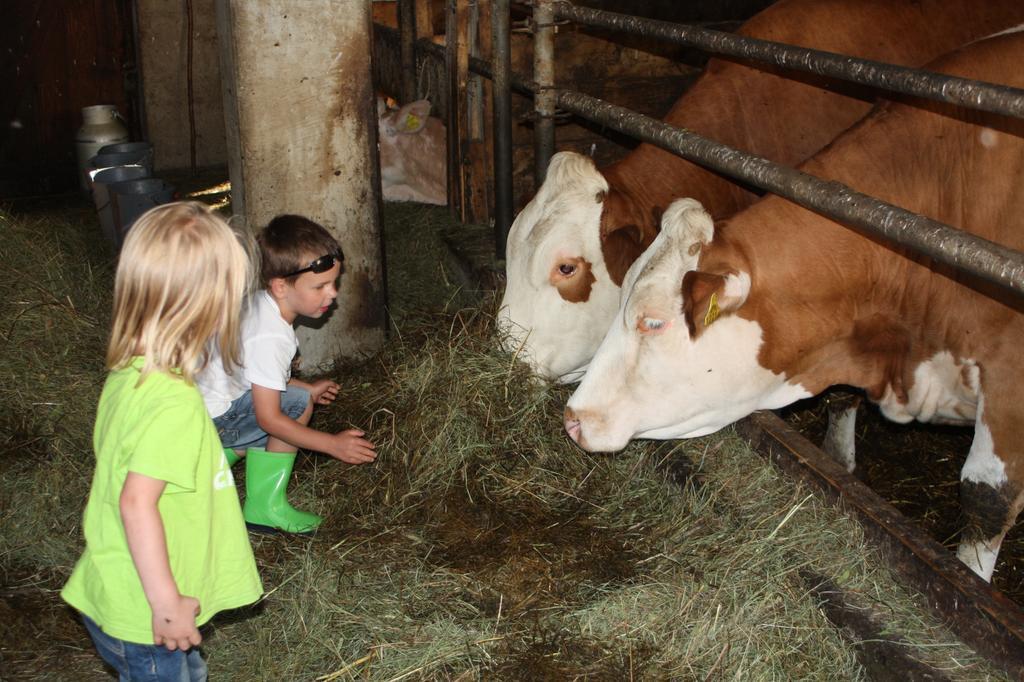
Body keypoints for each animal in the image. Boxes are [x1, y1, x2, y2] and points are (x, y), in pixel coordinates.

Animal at [565, 30, 1024, 577]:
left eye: (653, 322)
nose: (572, 417)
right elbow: (842, 399)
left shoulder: (1011, 389)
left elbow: (985, 500)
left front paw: (969, 579)